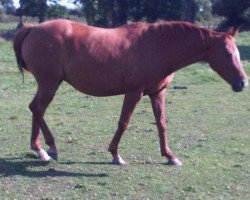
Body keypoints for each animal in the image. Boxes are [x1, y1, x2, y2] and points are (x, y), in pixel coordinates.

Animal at [13, 19, 248, 166]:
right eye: (228, 54)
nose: (242, 83)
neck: (157, 46)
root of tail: (33, 28)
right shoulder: (134, 92)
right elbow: (124, 122)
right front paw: (115, 155)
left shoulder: (157, 93)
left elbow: (161, 124)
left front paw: (170, 156)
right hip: (49, 83)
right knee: (38, 109)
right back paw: (48, 148)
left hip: (47, 84)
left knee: (36, 109)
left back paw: (40, 150)